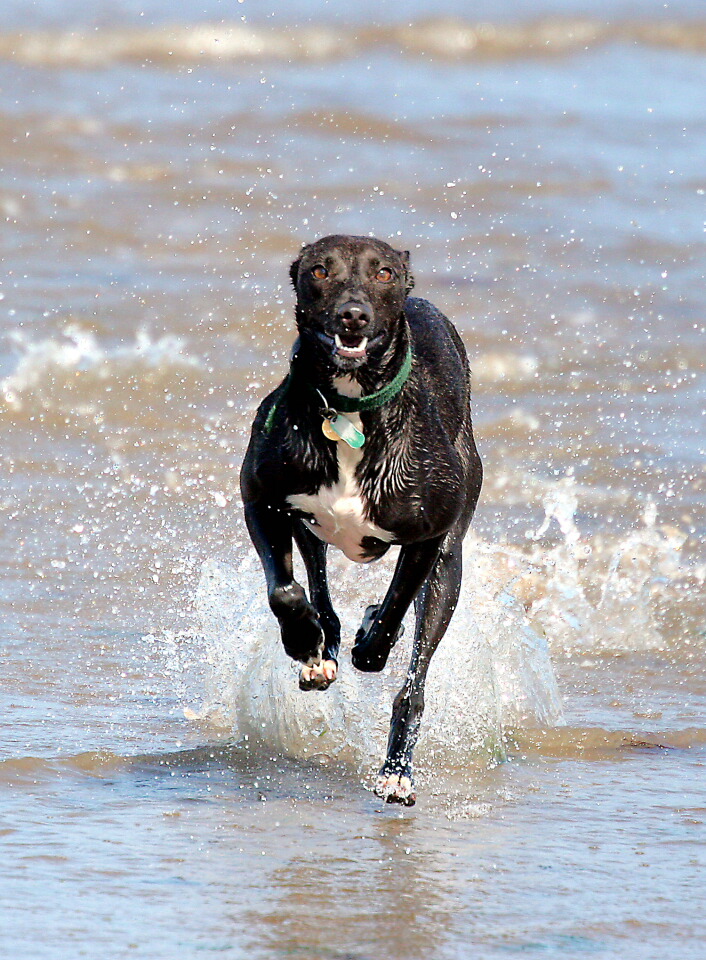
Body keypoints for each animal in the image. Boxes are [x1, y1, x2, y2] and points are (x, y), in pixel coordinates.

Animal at [239, 236, 482, 808]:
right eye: (319, 270)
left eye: (384, 272)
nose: (353, 315)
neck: (349, 408)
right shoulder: (262, 501)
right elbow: (285, 591)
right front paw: (303, 642)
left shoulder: (429, 537)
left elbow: (393, 614)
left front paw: (371, 638)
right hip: (309, 532)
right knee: (320, 592)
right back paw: (318, 650)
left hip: (450, 563)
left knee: (415, 676)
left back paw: (397, 771)